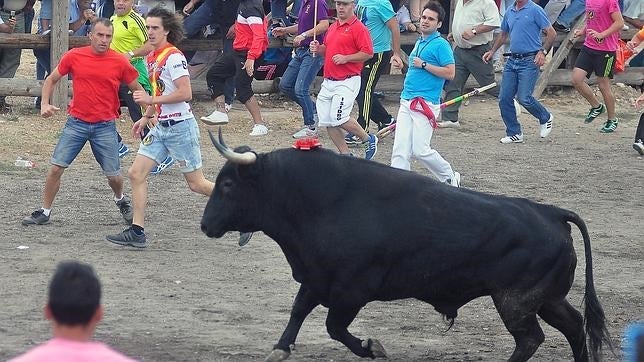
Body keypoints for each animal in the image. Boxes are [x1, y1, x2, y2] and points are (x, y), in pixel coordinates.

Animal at [203, 131, 612, 362]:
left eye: (228, 185)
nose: (206, 225)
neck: (320, 199)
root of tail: (550, 212)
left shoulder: (351, 291)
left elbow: (335, 326)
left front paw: (373, 348)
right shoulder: (317, 278)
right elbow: (299, 310)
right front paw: (280, 348)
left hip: (516, 301)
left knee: (531, 339)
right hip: (547, 298)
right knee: (573, 326)